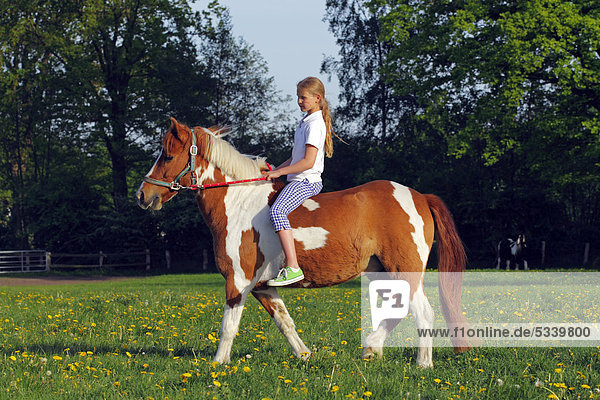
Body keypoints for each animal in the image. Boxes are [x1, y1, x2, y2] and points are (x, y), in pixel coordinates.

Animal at [138, 119, 472, 368]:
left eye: (168, 155)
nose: (143, 195)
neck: (238, 203)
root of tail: (420, 196)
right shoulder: (263, 287)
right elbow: (285, 322)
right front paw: (304, 355)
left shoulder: (238, 281)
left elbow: (228, 326)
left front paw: (218, 363)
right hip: (382, 272)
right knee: (399, 311)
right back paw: (371, 349)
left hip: (406, 270)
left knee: (423, 313)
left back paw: (422, 363)